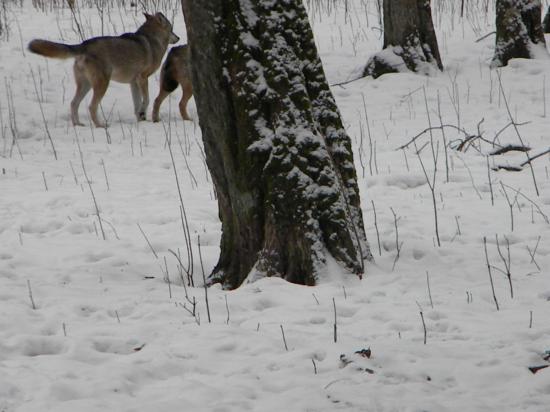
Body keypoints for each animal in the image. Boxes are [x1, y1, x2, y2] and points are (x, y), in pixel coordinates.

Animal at [28, 12, 179, 127]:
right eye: (172, 28)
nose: (178, 37)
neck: (152, 38)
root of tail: (84, 45)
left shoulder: (133, 83)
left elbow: (137, 105)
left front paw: (141, 120)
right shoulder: (142, 78)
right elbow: (146, 100)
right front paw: (142, 115)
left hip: (86, 85)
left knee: (73, 103)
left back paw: (78, 125)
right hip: (102, 85)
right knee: (91, 106)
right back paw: (100, 126)